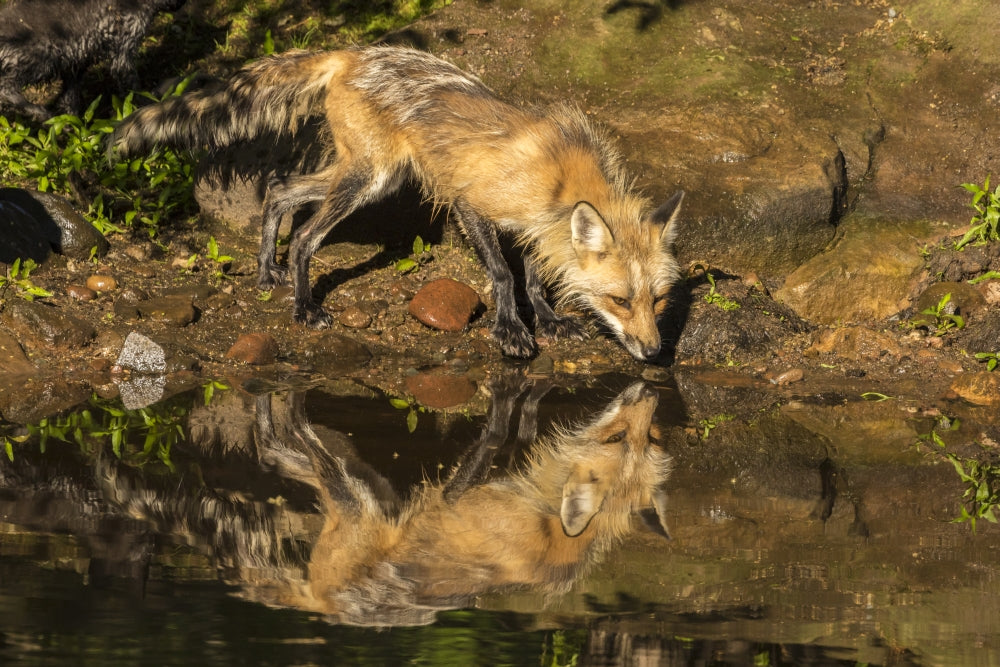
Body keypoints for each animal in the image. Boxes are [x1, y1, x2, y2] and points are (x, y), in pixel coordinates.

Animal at [109, 45, 685, 361]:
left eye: (657, 300)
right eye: (619, 301)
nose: (654, 352)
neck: (559, 178)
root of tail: (353, 52)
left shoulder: (534, 225)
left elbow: (536, 274)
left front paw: (547, 318)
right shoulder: (470, 202)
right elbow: (503, 274)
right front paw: (511, 331)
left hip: (371, 178)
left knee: (280, 188)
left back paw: (267, 269)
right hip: (367, 180)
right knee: (306, 235)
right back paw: (303, 304)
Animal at [248, 377, 673, 626]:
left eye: (621, 437)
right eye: (645, 437)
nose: (652, 390)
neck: (544, 515)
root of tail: (330, 609)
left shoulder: (453, 499)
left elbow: (494, 436)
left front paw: (504, 401)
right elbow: (511, 435)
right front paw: (526, 399)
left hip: (357, 499)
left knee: (297, 439)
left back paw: (286, 394)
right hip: (376, 489)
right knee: (271, 454)